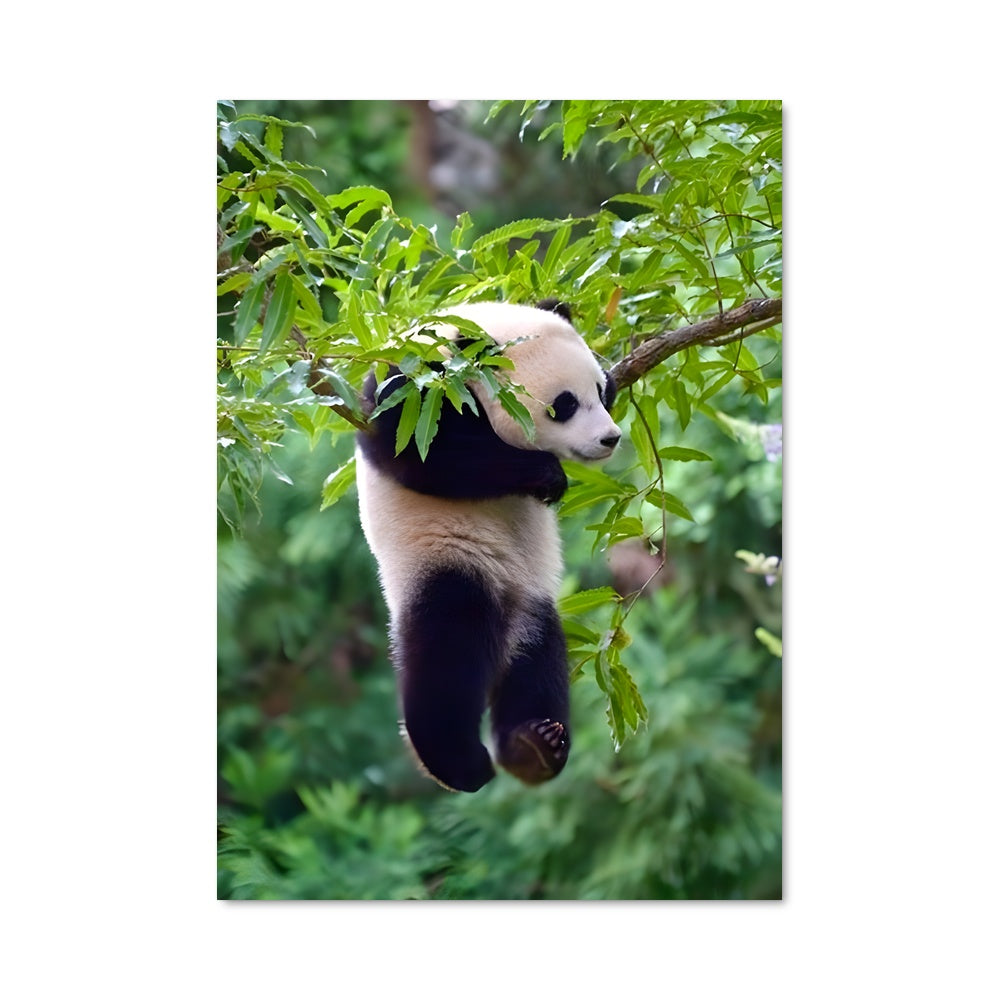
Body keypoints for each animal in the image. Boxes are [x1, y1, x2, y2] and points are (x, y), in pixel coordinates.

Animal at [355, 300, 621, 792]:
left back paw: (535, 746)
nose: (609, 438)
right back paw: (461, 763)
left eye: (599, 389)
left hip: (533, 601)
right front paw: (547, 475)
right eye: (565, 405)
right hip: (445, 561)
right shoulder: (414, 391)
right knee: (447, 656)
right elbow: (426, 455)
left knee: (538, 665)